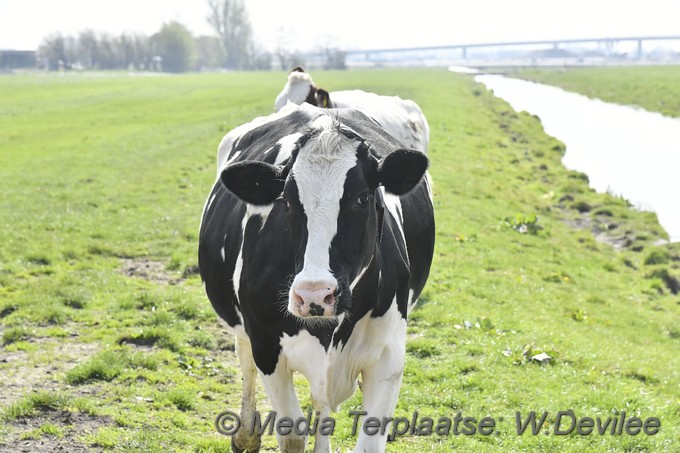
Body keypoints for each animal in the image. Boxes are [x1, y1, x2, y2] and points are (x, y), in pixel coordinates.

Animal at [199, 102, 436, 452]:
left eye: (363, 197)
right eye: (286, 200)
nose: (313, 294)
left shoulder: (389, 356)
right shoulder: (267, 346)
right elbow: (293, 434)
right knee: (244, 358)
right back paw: (246, 435)